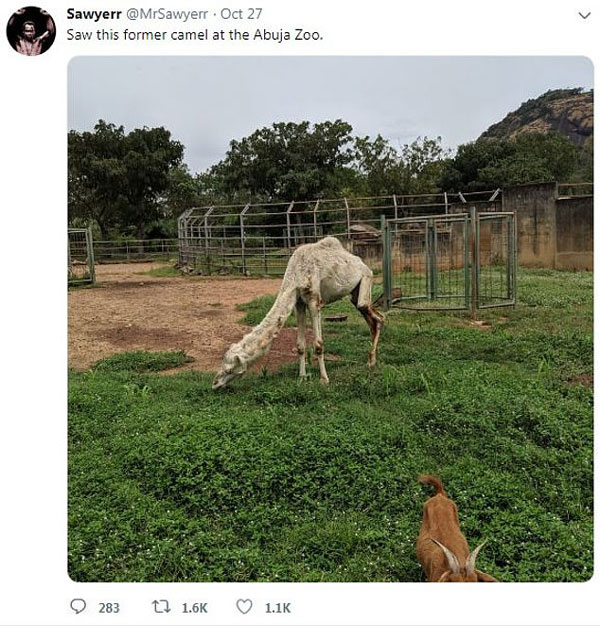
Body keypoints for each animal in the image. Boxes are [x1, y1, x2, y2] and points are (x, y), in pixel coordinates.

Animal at [212, 237, 384, 389]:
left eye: (229, 370)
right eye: (222, 364)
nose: (215, 384)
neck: (296, 273)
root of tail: (364, 264)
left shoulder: (314, 301)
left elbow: (318, 344)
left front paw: (324, 380)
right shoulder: (299, 302)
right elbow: (300, 345)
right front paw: (302, 377)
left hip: (366, 279)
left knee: (378, 316)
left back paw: (372, 362)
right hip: (354, 294)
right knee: (372, 318)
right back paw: (370, 361)